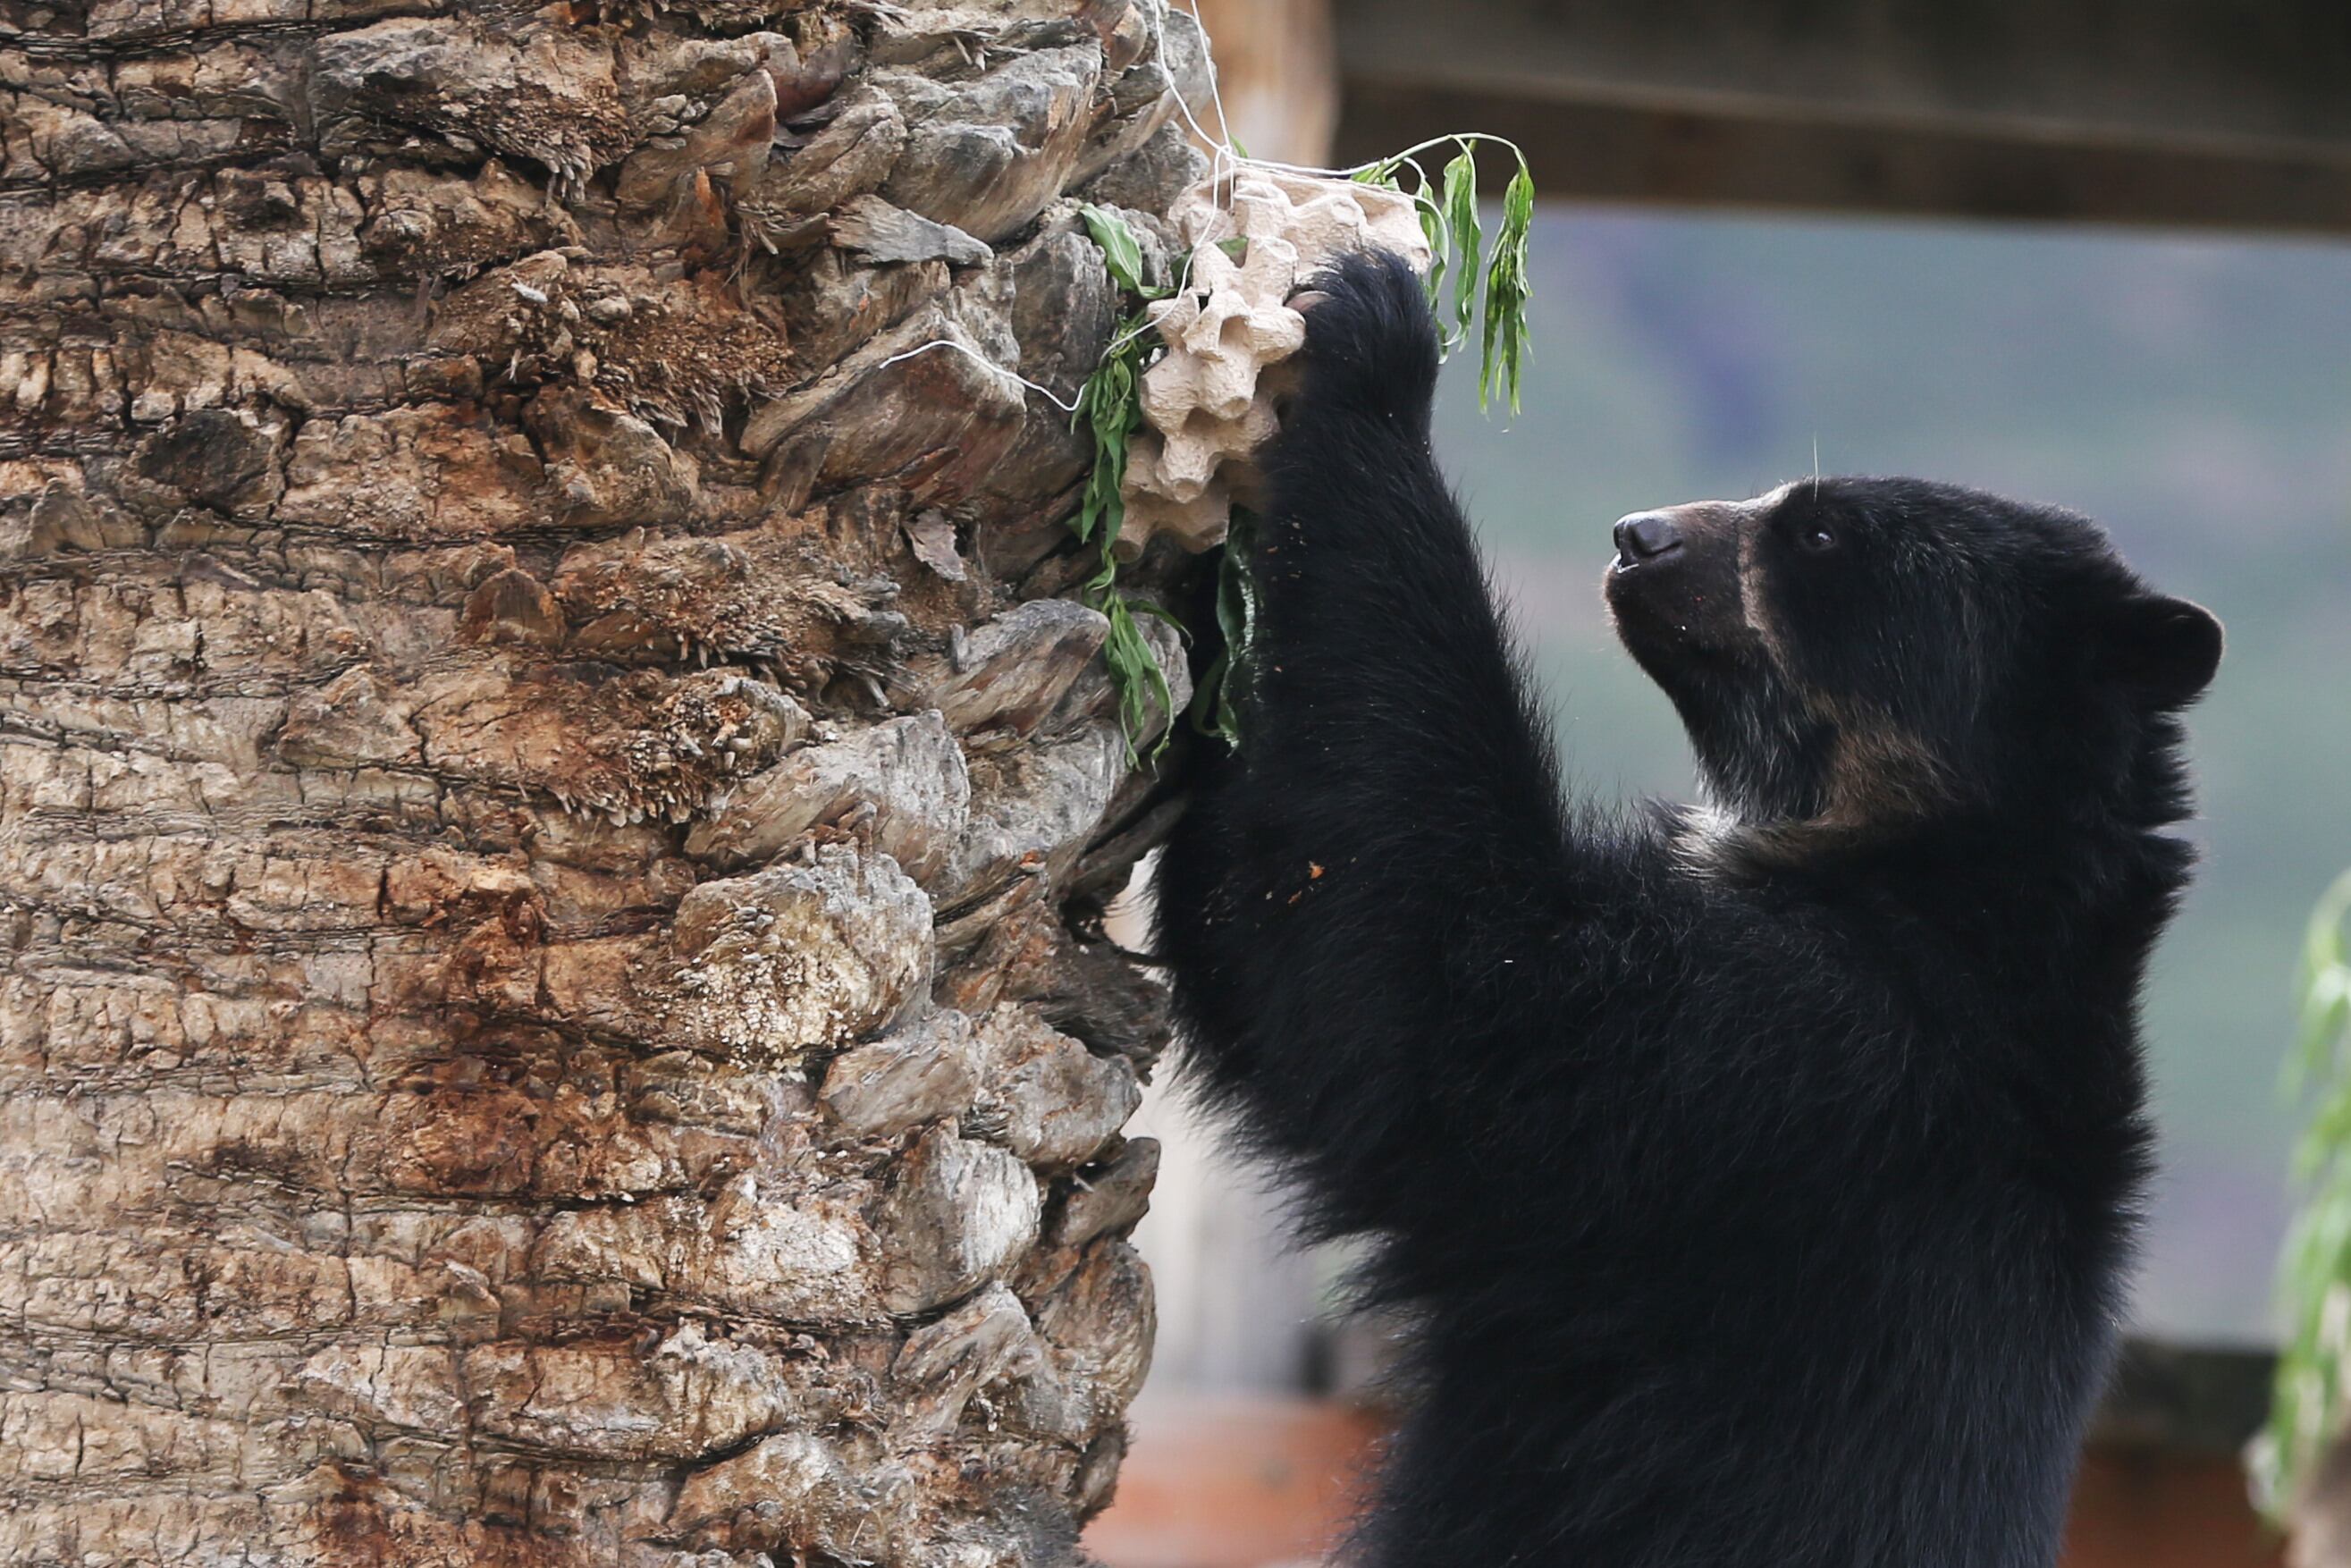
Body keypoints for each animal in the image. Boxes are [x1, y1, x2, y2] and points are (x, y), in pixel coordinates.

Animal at [1156, 251, 2219, 1561]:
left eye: (1816, 530)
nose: (1636, 535)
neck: (1927, 869)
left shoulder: (1774, 1076)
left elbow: (1431, 987)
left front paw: (1366, 337)